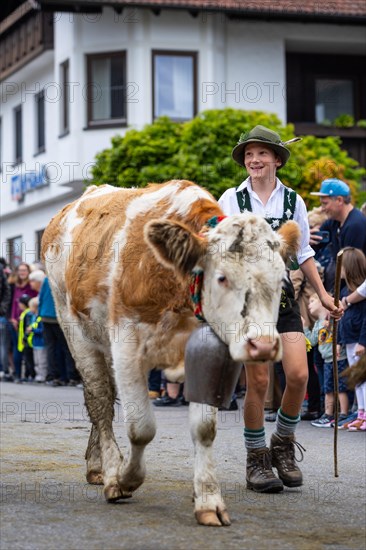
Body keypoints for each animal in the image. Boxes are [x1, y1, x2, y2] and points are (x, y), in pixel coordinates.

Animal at [42, 179, 300, 528]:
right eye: (222, 277)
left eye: (280, 280)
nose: (263, 345)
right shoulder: (126, 344)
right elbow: (141, 428)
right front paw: (123, 479)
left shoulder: (207, 353)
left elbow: (205, 429)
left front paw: (208, 499)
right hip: (75, 330)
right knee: (99, 400)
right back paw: (107, 466)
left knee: (104, 396)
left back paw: (96, 465)